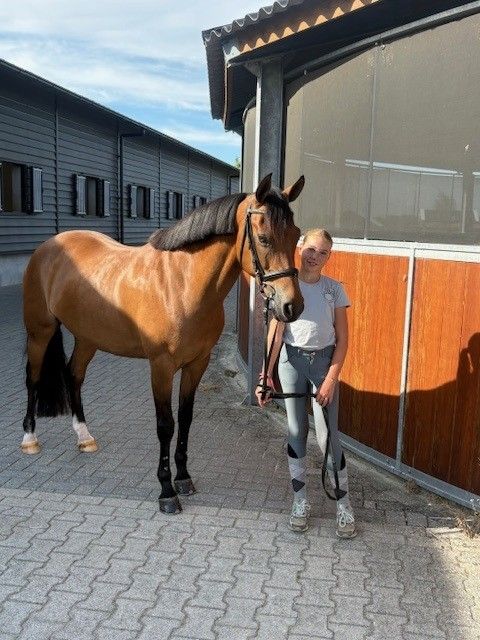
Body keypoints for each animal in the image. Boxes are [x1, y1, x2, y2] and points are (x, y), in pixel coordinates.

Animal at [21, 173, 305, 513]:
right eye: (263, 238)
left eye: (296, 235)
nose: (291, 306)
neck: (182, 285)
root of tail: (47, 247)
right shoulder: (161, 367)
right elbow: (165, 424)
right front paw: (167, 491)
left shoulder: (197, 363)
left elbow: (185, 418)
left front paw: (183, 479)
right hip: (40, 332)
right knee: (33, 378)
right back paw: (29, 439)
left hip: (88, 338)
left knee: (73, 376)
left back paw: (84, 437)